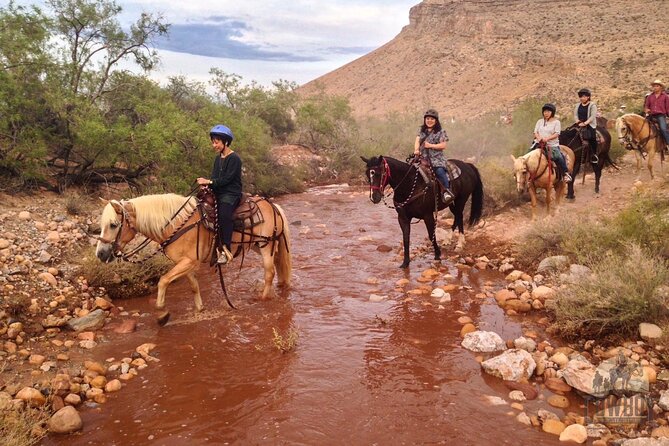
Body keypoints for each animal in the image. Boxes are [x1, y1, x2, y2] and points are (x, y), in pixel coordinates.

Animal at [96, 193, 290, 322]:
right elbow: (194, 286)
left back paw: (262, 299)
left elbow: (163, 280)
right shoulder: (186, 263)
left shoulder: (188, 262)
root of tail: (273, 206)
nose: (100, 254)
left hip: (266, 246)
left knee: (269, 273)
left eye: (113, 225)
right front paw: (200, 309)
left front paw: (162, 313)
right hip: (259, 246)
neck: (175, 225)